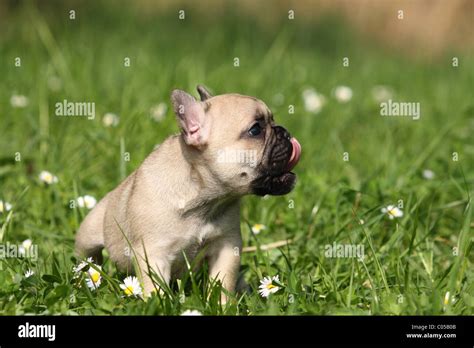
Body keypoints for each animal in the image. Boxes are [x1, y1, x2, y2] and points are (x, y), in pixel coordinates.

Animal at [76, 85, 302, 300]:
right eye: (255, 130)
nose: (285, 132)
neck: (204, 202)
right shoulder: (154, 254)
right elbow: (155, 288)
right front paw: (157, 304)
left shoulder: (226, 247)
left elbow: (223, 283)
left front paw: (222, 304)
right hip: (89, 235)